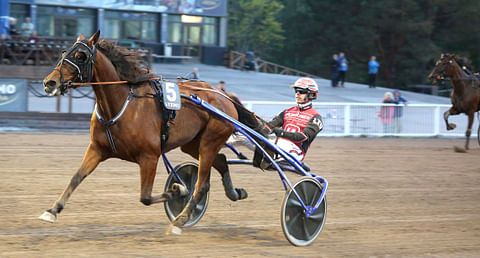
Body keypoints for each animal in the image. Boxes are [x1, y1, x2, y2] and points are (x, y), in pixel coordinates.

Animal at [40, 30, 258, 234]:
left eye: (80, 55)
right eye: (63, 52)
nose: (49, 82)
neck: (121, 105)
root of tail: (225, 96)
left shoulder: (149, 157)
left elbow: (145, 197)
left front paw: (178, 190)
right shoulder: (97, 149)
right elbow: (76, 177)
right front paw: (52, 210)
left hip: (209, 142)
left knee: (201, 185)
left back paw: (180, 220)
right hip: (193, 143)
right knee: (220, 160)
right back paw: (235, 192)